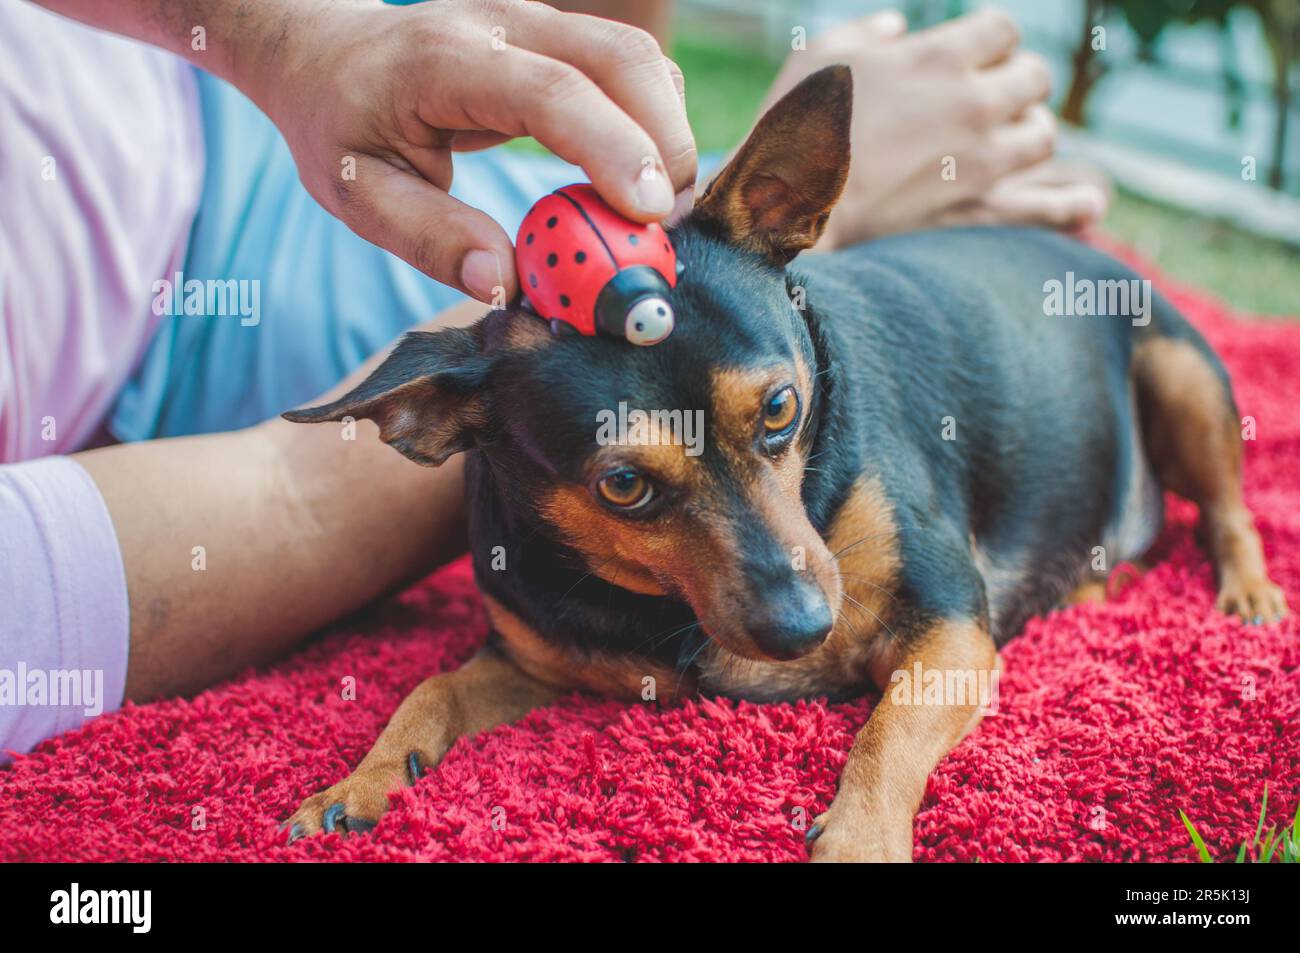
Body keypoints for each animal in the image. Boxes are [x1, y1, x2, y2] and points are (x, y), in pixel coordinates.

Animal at [279, 63, 1284, 858]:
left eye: (778, 410)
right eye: (623, 484)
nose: (806, 627)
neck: (653, 605)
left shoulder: (952, 630)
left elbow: (886, 733)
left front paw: (861, 837)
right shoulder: (529, 663)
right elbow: (431, 687)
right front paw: (358, 780)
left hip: (1183, 376)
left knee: (1228, 508)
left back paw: (1250, 592)